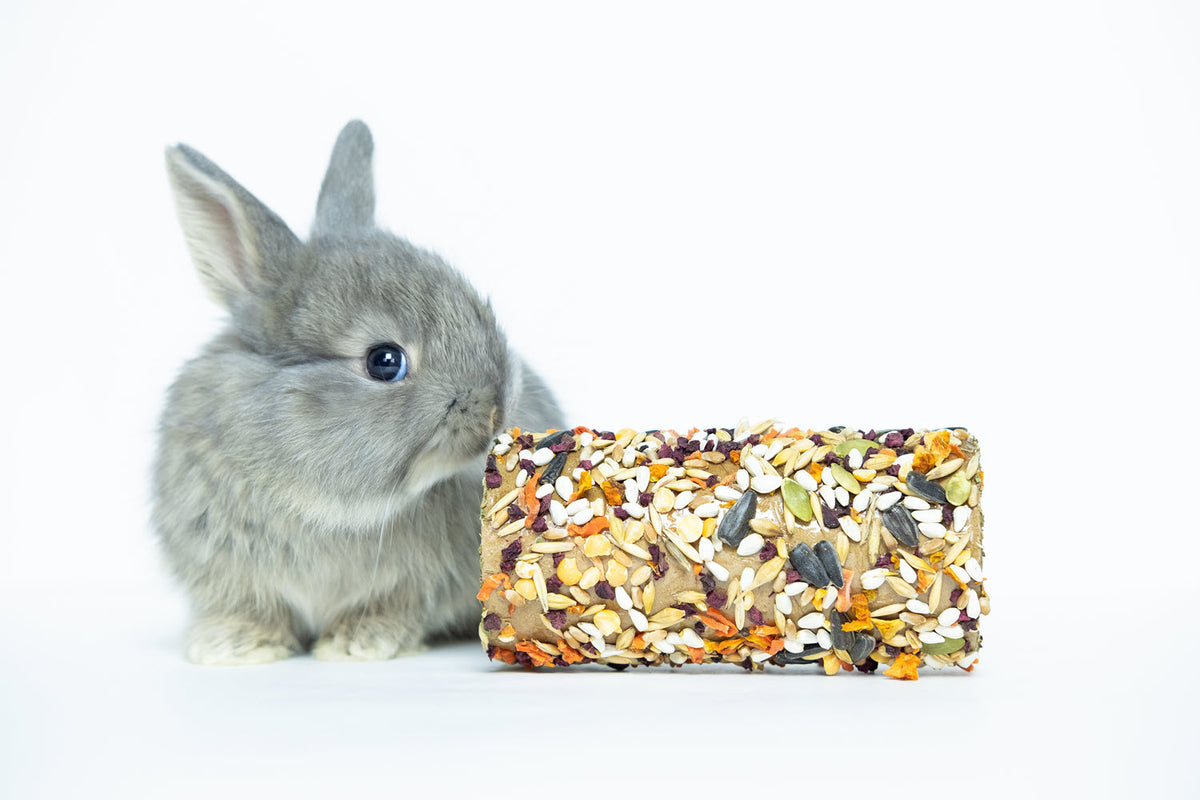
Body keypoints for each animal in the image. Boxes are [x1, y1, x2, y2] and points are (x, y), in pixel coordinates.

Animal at [154, 120, 564, 665]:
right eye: (384, 361)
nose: (496, 412)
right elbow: (253, 607)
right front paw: (234, 645)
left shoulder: (409, 585)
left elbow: (389, 609)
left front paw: (357, 644)